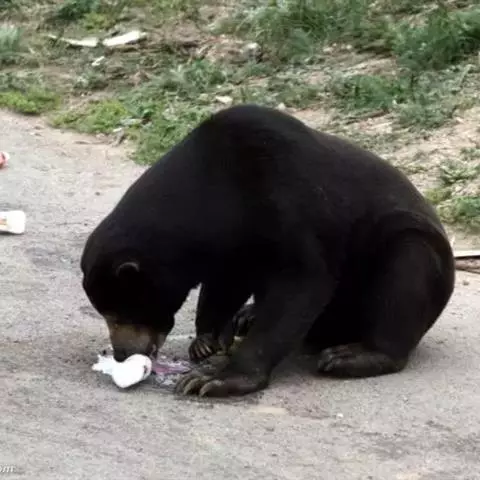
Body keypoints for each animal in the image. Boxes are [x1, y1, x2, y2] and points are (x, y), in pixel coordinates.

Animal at [80, 104, 455, 398]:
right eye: (107, 313)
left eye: (121, 311)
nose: (122, 354)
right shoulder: (232, 244)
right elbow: (227, 281)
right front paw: (208, 342)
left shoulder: (289, 199)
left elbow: (304, 281)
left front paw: (216, 378)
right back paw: (247, 316)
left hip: (412, 249)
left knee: (406, 271)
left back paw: (352, 355)